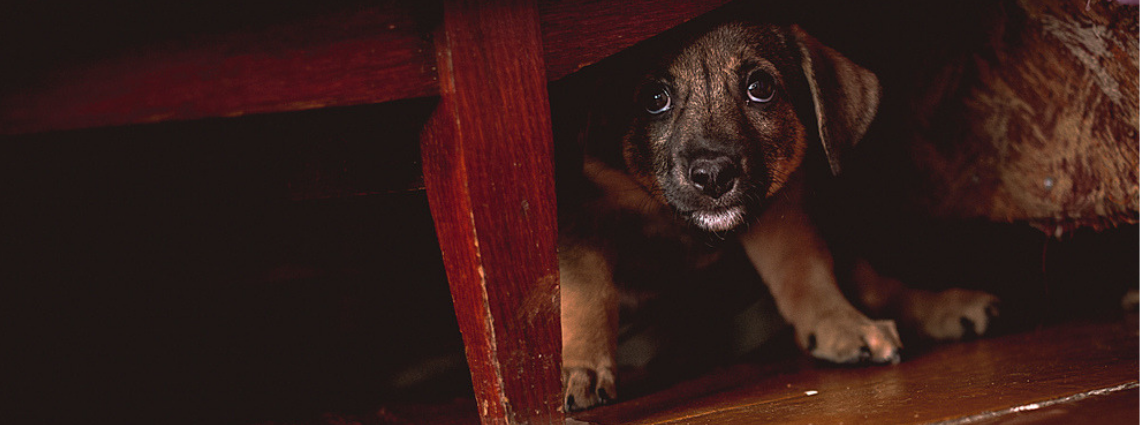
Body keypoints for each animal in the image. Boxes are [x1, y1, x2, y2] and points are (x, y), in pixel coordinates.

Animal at [558, 20, 998, 410]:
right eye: (654, 99)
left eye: (760, 89)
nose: (714, 175)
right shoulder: (582, 215)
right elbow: (587, 292)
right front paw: (581, 369)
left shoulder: (779, 208)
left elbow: (804, 270)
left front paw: (839, 323)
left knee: (873, 282)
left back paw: (944, 307)